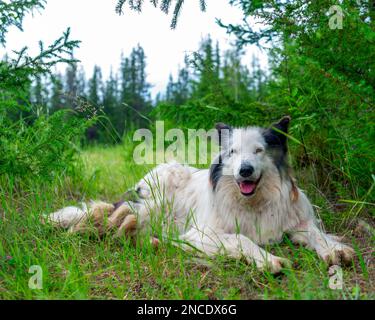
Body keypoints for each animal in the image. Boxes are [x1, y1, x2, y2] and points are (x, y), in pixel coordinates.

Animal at [47, 117, 356, 272]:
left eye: (259, 150)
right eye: (232, 152)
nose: (244, 170)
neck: (252, 203)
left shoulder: (295, 223)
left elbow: (316, 234)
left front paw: (335, 250)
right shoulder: (201, 233)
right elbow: (242, 240)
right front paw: (268, 260)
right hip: (156, 198)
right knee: (120, 220)